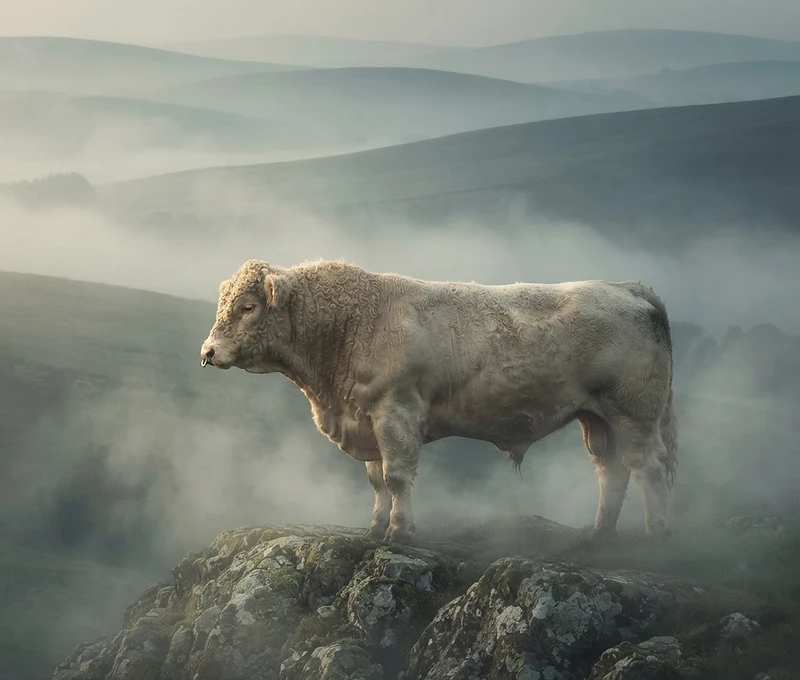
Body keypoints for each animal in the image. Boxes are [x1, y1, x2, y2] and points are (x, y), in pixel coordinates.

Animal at [200, 258, 677, 545]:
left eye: (247, 307)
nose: (207, 351)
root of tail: (626, 287)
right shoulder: (367, 419)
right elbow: (376, 481)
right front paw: (374, 529)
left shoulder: (396, 413)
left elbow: (396, 478)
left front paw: (401, 532)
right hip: (596, 418)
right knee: (611, 470)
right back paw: (599, 533)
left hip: (634, 413)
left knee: (647, 468)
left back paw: (656, 535)